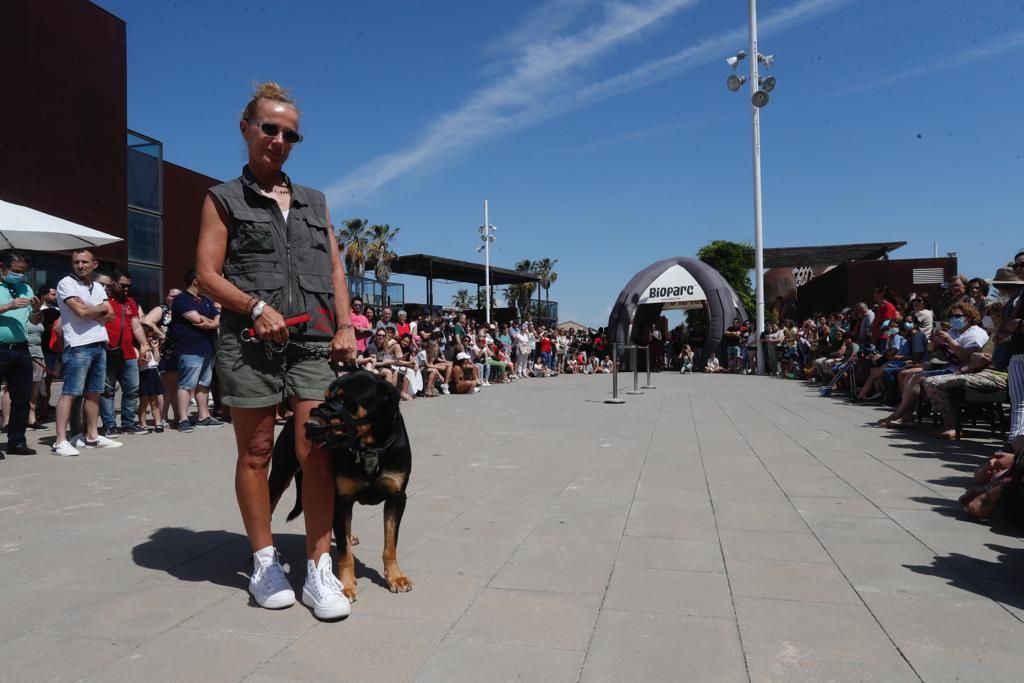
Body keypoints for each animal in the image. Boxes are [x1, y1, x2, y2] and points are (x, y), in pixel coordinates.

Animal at [268, 370, 411, 602]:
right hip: (280, 475)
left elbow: (390, 543)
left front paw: (396, 577)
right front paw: (346, 586)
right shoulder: (341, 499)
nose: (310, 425)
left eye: (345, 399)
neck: (369, 448)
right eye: (325, 397)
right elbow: (344, 552)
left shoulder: (397, 497)